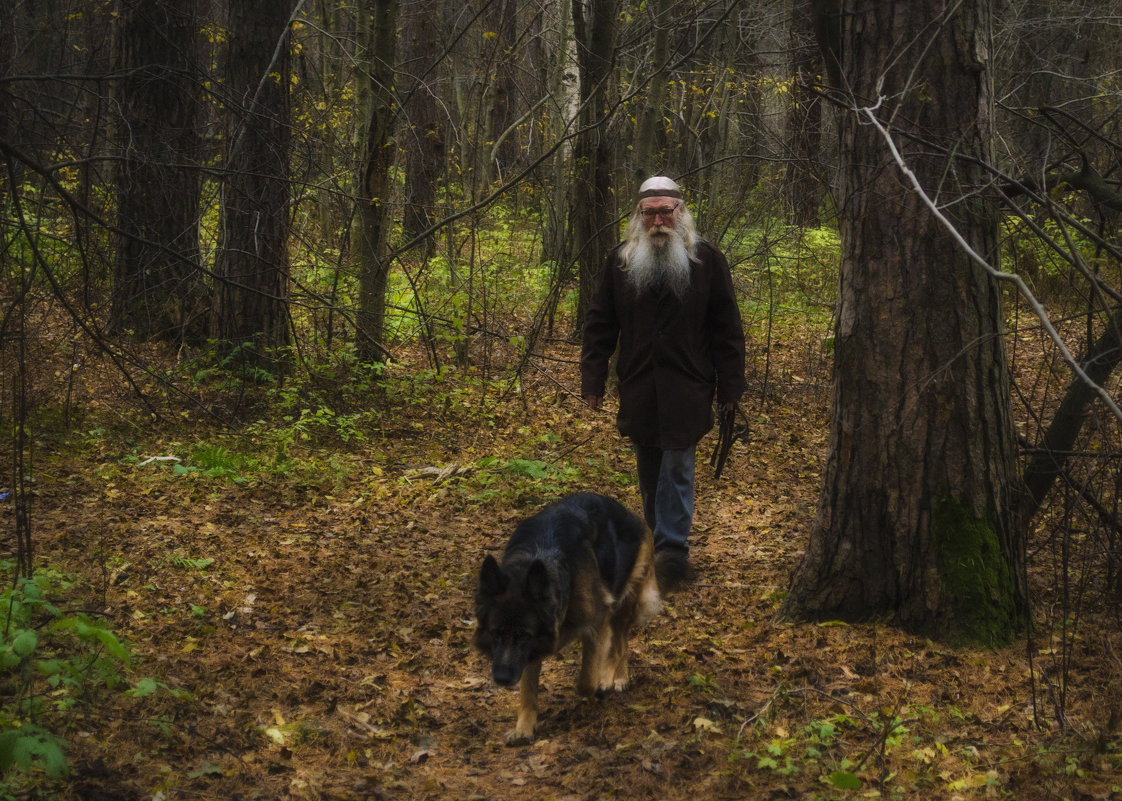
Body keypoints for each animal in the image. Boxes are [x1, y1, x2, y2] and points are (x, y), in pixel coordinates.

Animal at [471, 489, 655, 744]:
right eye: (496, 633)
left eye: (523, 635)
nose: (501, 678)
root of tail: (631, 515)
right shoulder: (533, 648)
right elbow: (528, 691)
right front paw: (524, 728)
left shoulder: (595, 624)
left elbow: (586, 681)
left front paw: (600, 683)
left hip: (622, 601)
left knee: (619, 644)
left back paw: (614, 677)